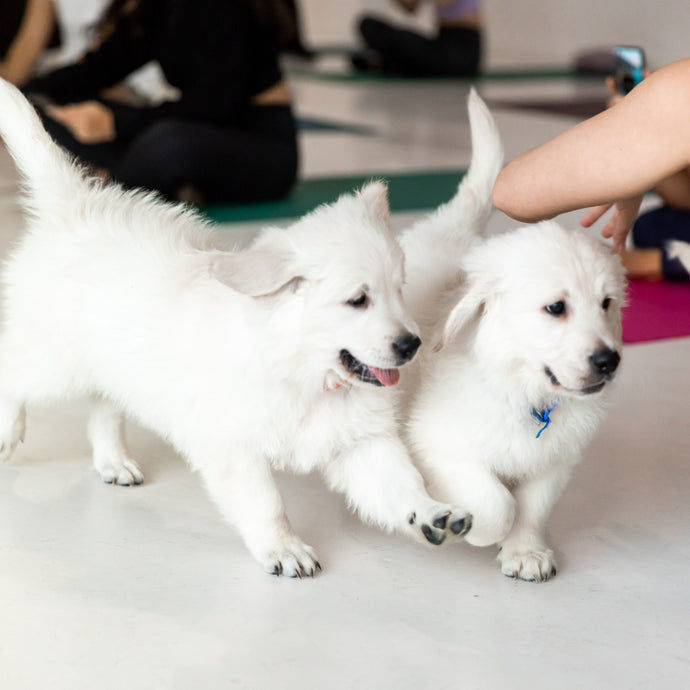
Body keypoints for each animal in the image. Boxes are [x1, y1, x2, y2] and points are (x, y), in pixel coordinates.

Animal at [0, 79, 470, 576]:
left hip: (113, 361)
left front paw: (432, 514)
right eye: (357, 300)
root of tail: (74, 207)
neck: (303, 373)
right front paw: (284, 548)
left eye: (399, 290)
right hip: (54, 359)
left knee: (104, 407)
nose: (412, 344)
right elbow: (266, 502)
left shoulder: (359, 439)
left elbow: (398, 483)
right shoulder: (232, 444)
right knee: (14, 373)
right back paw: (9, 432)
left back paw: (114, 462)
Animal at [398, 88, 624, 576]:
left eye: (606, 304)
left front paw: (526, 552)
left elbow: (532, 507)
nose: (609, 361)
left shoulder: (554, 460)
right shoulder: (436, 444)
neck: (527, 395)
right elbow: (498, 503)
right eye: (556, 308)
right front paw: (477, 532)